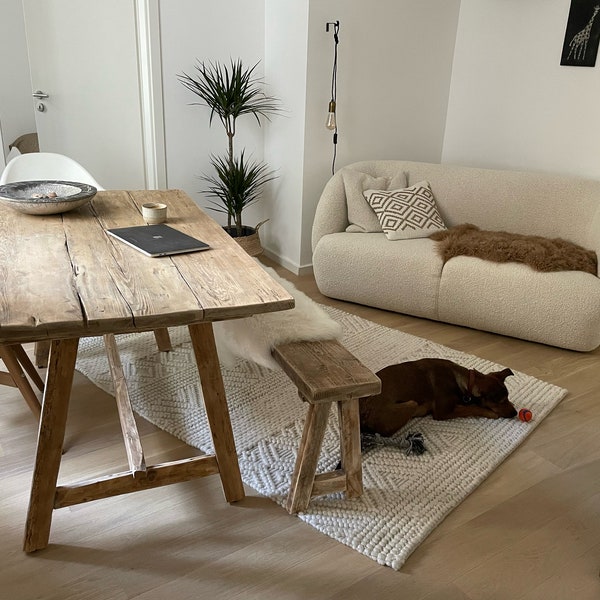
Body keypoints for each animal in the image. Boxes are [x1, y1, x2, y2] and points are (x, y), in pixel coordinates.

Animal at [358, 356, 516, 436]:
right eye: (500, 401)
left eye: (508, 397)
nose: (515, 413)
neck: (465, 380)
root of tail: (363, 413)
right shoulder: (442, 412)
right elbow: (471, 408)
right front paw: (490, 413)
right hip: (411, 403)